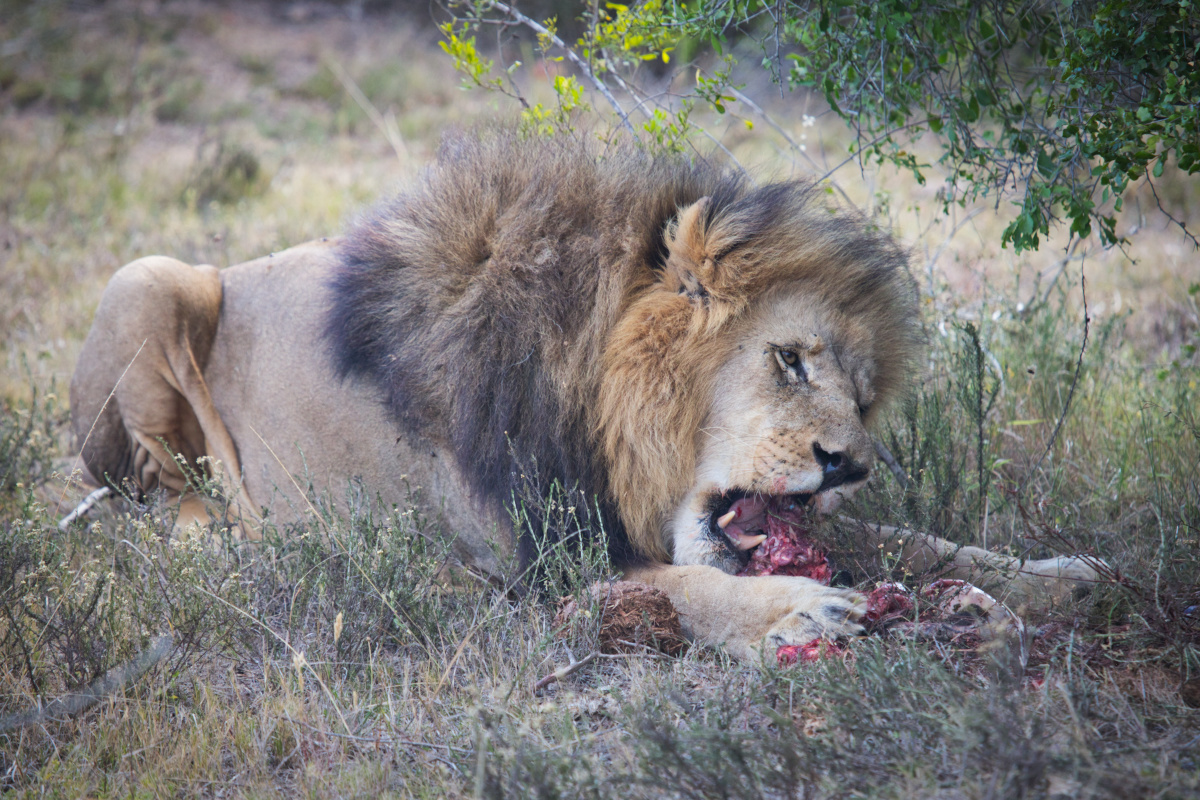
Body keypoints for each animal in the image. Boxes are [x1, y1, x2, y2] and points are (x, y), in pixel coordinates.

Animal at [65, 130, 1099, 657]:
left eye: (865, 391)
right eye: (791, 361)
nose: (848, 465)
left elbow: (913, 541)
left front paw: (1056, 576)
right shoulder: (529, 558)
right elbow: (686, 587)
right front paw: (796, 613)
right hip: (149, 279)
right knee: (155, 501)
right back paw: (229, 537)